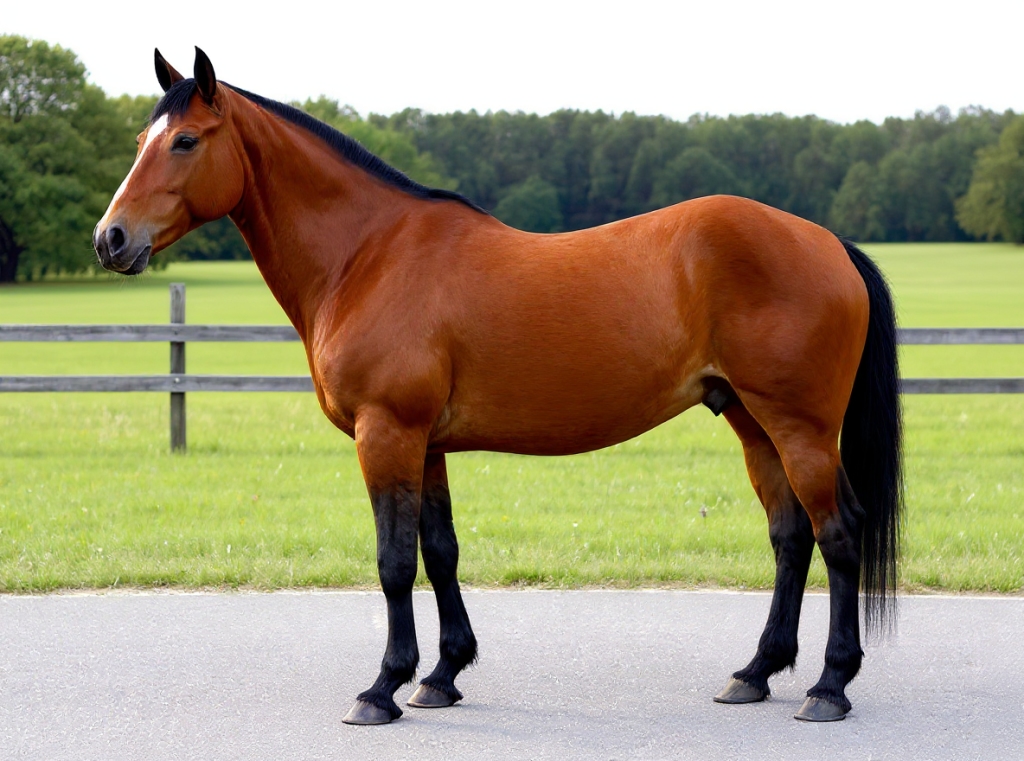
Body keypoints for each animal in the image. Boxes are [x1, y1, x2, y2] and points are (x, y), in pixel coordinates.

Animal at [93, 48, 903, 724]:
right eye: (138, 140)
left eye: (185, 141)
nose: (111, 238)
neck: (368, 255)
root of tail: (828, 242)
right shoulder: (425, 443)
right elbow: (440, 550)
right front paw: (442, 675)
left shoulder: (386, 433)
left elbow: (393, 562)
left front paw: (382, 687)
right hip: (751, 421)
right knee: (790, 536)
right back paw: (756, 672)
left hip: (799, 426)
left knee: (837, 532)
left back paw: (830, 686)